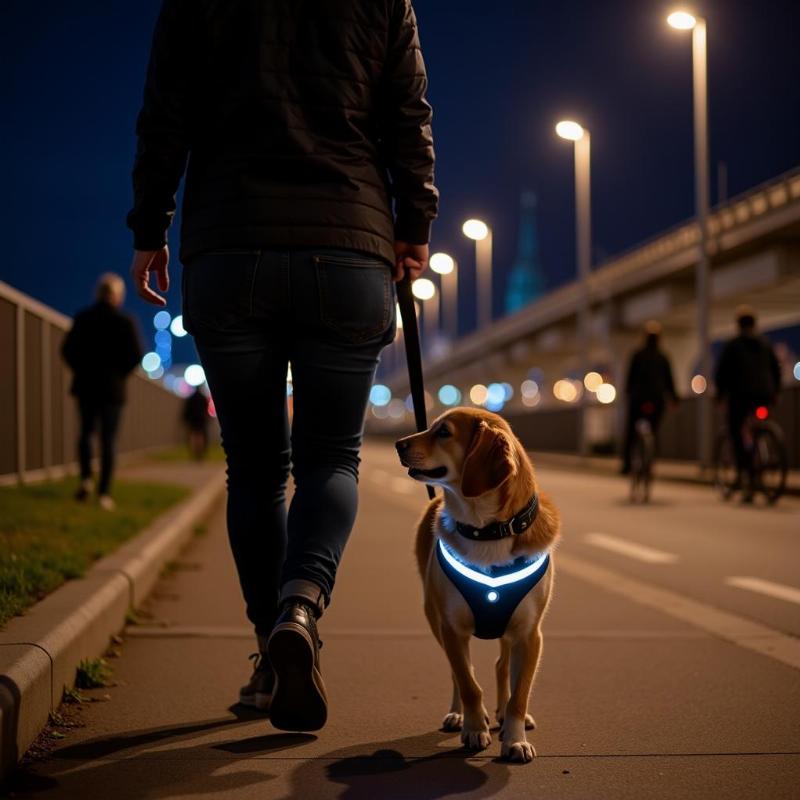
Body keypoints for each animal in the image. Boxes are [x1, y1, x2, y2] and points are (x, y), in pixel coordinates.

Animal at [396, 406, 560, 764]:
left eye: (444, 432)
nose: (398, 443)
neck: (487, 529)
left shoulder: (530, 634)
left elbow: (520, 693)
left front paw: (514, 738)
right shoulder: (452, 628)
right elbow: (468, 682)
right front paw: (473, 729)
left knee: (502, 666)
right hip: (434, 618)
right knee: (460, 673)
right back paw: (461, 715)